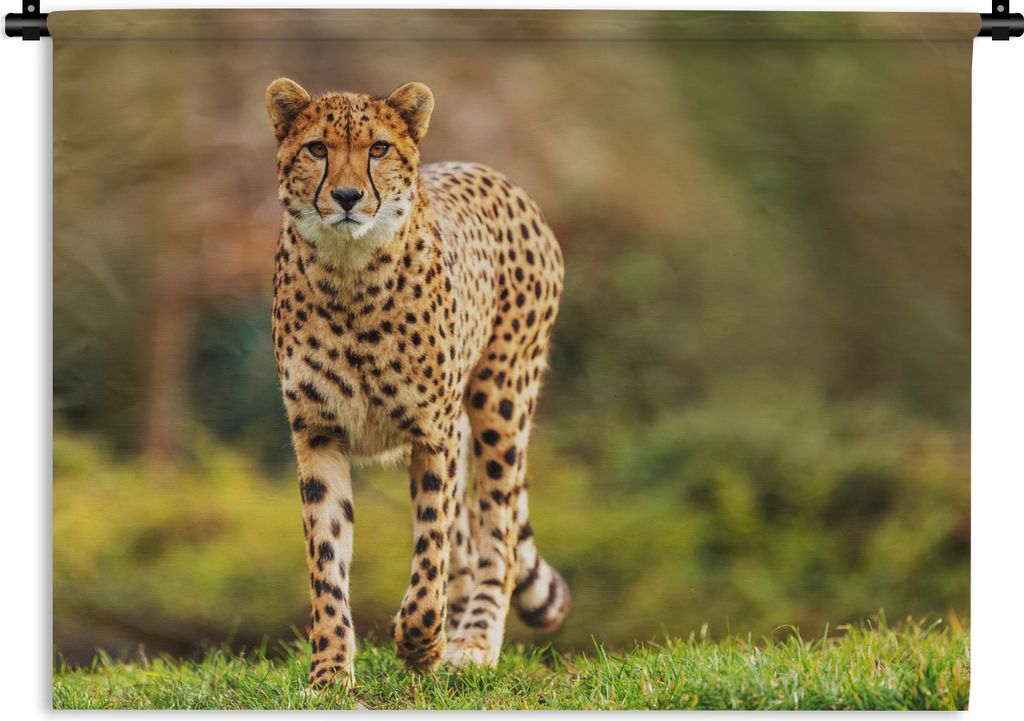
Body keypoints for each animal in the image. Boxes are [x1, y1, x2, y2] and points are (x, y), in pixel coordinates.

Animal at [266, 78, 570, 688]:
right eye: (317, 149)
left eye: (379, 149)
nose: (347, 197)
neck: (350, 273)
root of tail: (494, 174)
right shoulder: (318, 433)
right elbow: (326, 558)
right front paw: (330, 671)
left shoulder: (433, 432)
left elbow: (431, 547)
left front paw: (418, 642)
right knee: (469, 539)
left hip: (500, 400)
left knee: (495, 535)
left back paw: (472, 642)